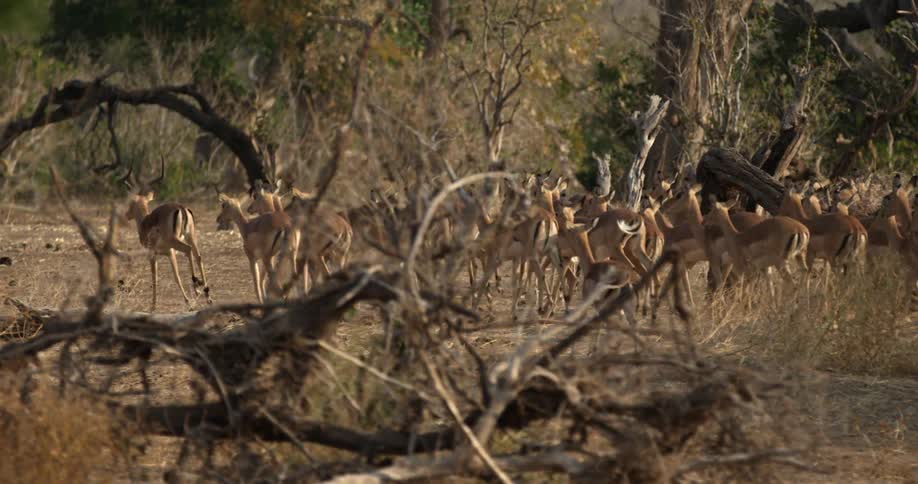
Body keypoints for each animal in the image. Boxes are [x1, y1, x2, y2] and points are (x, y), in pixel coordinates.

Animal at [123, 158, 208, 312]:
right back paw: (207, 295)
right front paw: (188, 301)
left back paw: (196, 287)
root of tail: (181, 208)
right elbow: (176, 276)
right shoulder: (170, 252)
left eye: (131, 203)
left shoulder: (153, 253)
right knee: (198, 255)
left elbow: (155, 278)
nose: (127, 215)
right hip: (191, 236)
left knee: (188, 250)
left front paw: (153, 306)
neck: (145, 222)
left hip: (176, 241)